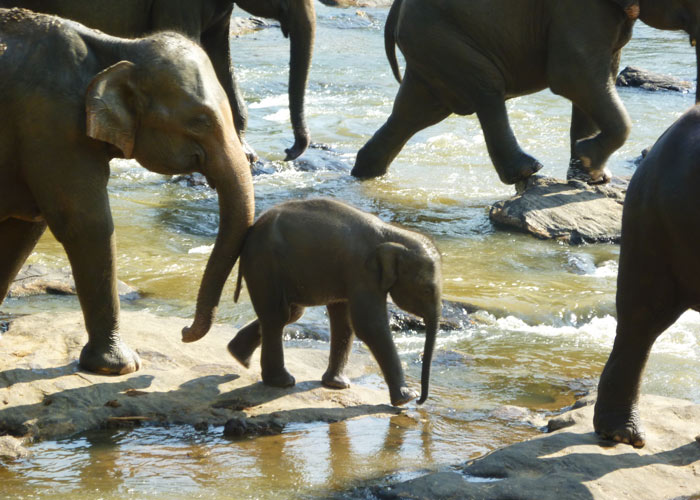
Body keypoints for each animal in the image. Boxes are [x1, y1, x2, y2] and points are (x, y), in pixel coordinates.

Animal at [0, 7, 256, 376]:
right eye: (200, 120)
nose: (184, 332)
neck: (117, 49)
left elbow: (23, 230)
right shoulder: (51, 125)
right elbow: (87, 224)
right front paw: (120, 367)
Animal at [352, 0, 700, 186]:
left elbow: (599, 76)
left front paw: (589, 176)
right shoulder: (578, 9)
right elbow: (573, 74)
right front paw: (588, 162)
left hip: (431, 44)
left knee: (415, 112)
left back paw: (366, 172)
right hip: (442, 37)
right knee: (486, 90)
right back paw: (528, 169)